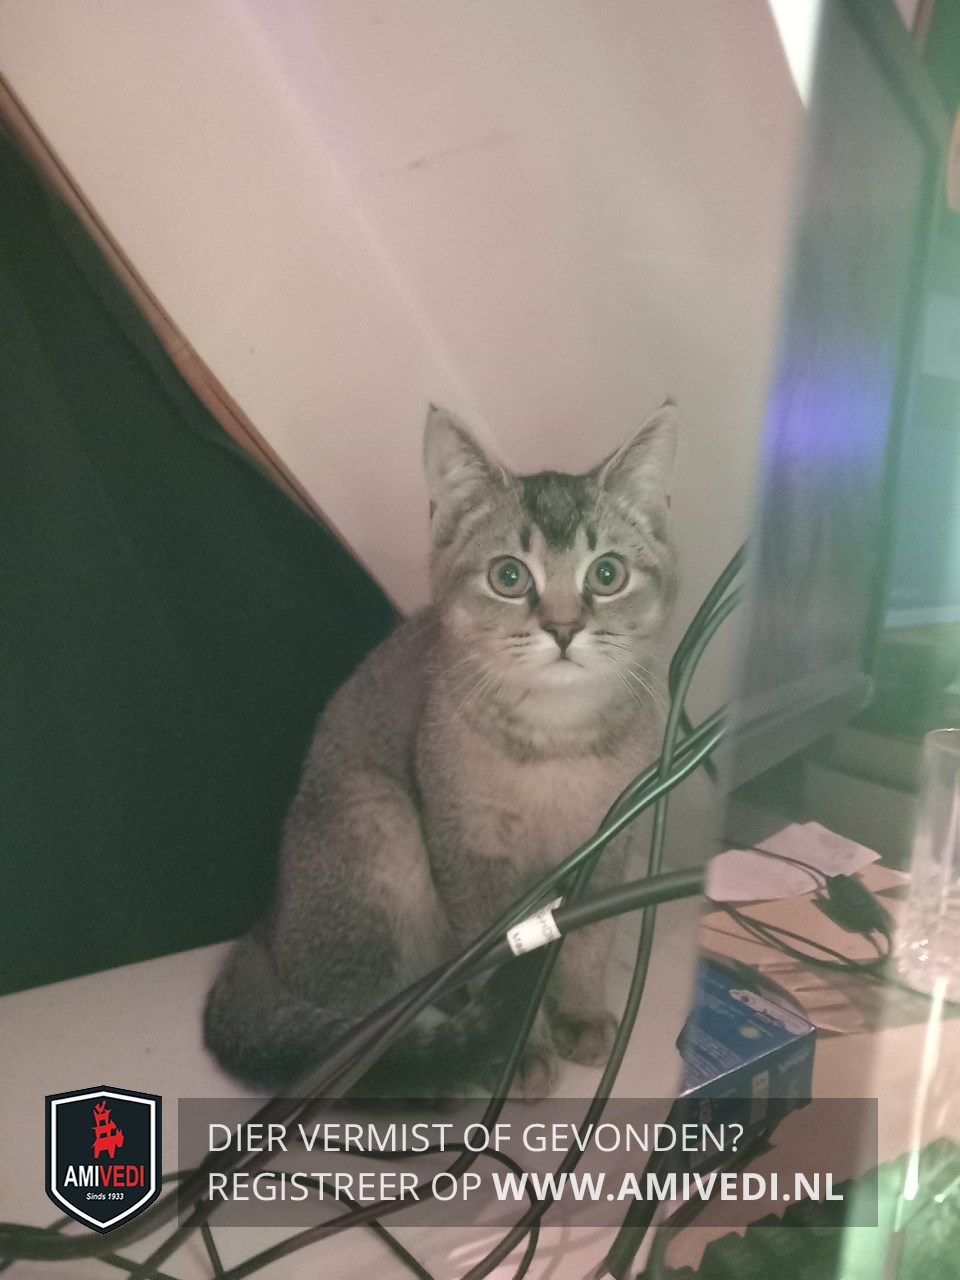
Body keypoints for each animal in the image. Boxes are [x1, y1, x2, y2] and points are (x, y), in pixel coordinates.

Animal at [204, 402, 678, 1097]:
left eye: (607, 574)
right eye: (508, 576)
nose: (564, 629)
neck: (556, 743)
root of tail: (267, 925)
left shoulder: (612, 840)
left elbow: (589, 938)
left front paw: (580, 1012)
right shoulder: (466, 851)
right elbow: (494, 953)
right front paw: (522, 1051)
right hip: (380, 817)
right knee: (358, 1021)